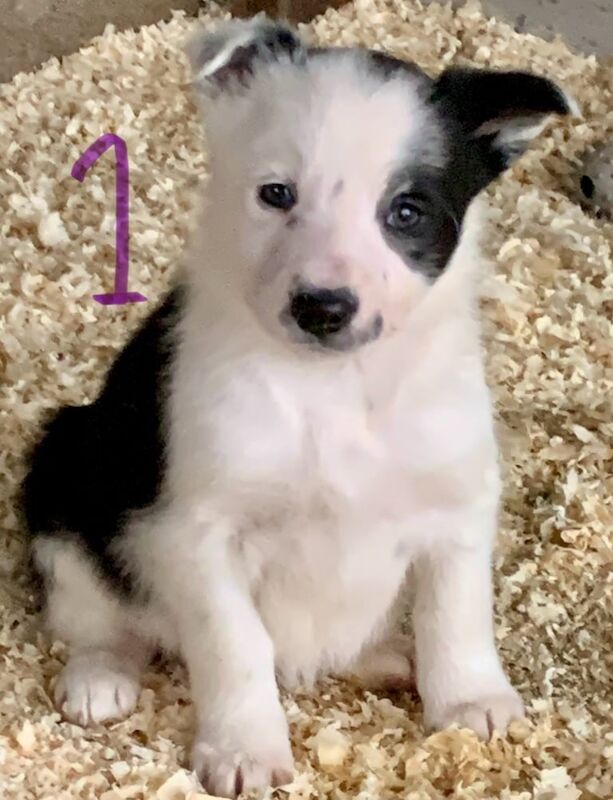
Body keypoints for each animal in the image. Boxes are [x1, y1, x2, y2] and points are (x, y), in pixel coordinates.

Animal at [20, 18, 572, 800]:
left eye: (406, 212)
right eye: (276, 194)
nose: (322, 308)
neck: (334, 387)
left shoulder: (458, 506)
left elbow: (457, 614)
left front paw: (469, 700)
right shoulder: (200, 532)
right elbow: (236, 646)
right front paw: (244, 748)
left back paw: (383, 658)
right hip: (63, 473)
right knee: (97, 615)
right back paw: (100, 676)